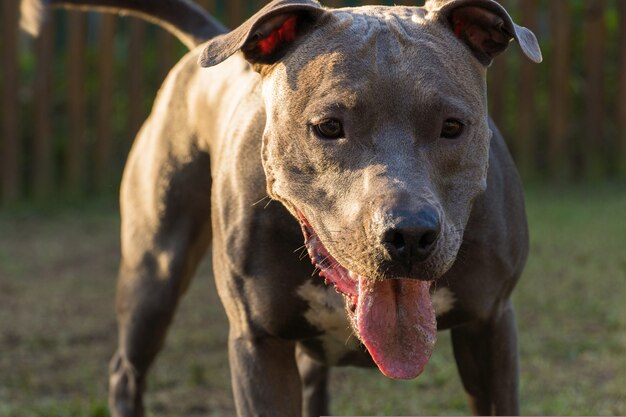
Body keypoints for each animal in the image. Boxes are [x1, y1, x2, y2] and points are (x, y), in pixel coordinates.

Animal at [22, 1, 540, 414]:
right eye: (328, 126)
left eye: (452, 126)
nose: (409, 234)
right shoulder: (259, 346)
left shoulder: (491, 325)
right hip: (153, 276)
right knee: (126, 371)